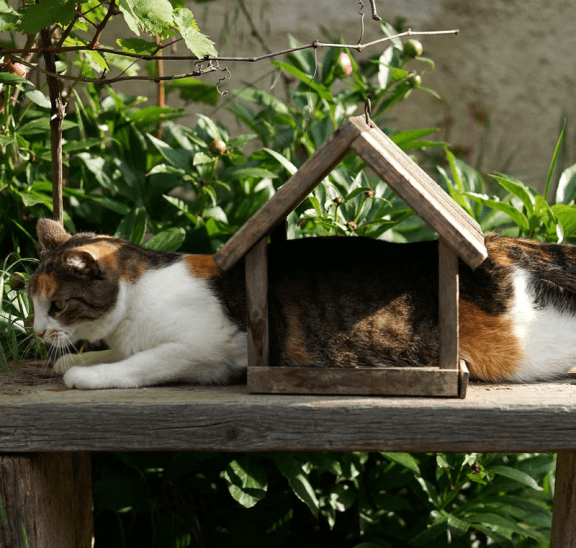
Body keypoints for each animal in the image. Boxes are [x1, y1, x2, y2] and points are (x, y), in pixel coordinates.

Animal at [28, 218, 576, 390]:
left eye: (57, 306)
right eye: (31, 302)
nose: (34, 332)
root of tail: (500, 244)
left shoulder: (211, 347)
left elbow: (143, 363)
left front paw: (88, 374)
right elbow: (106, 354)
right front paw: (76, 362)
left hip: (523, 348)